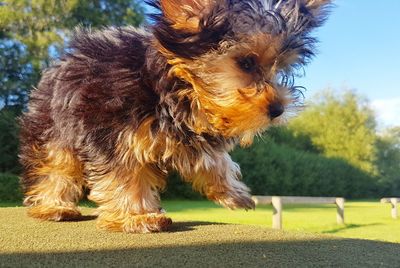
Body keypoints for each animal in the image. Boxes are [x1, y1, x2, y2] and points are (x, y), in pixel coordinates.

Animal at [18, 0, 332, 232]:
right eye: (246, 62)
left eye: (279, 67)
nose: (278, 109)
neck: (174, 86)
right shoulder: (112, 130)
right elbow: (124, 174)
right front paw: (137, 216)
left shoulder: (191, 133)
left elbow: (214, 160)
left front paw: (232, 192)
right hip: (53, 128)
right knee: (56, 167)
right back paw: (54, 206)